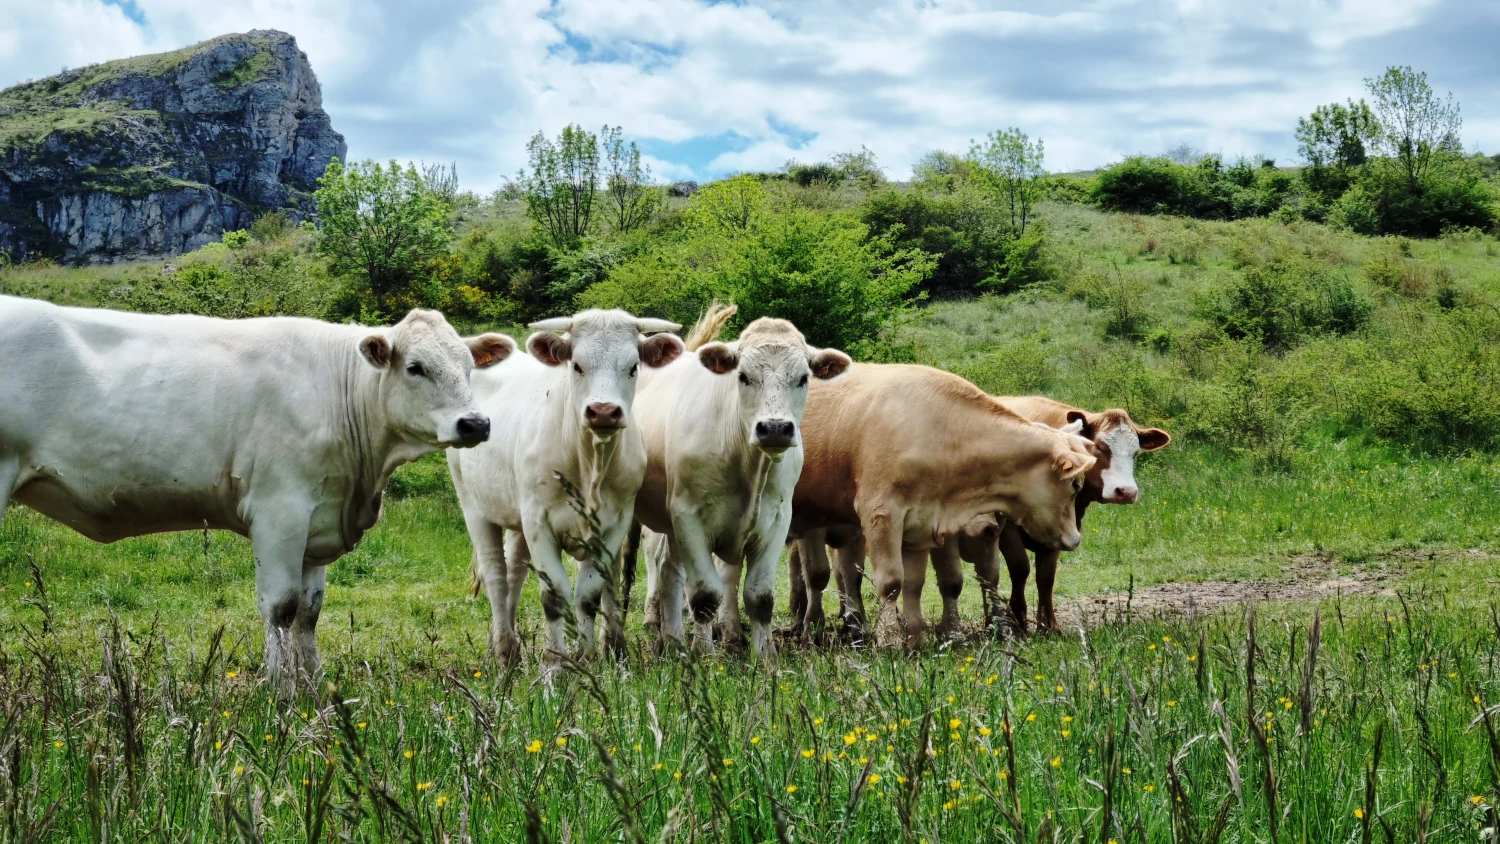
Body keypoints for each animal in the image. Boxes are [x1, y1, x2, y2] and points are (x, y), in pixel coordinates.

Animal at [0, 296, 513, 693]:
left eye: (469, 367)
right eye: (415, 367)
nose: (476, 423)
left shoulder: (317, 520)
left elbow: (309, 611)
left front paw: (312, 685)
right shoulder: (280, 510)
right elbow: (281, 606)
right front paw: (277, 690)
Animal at [447, 309, 683, 665]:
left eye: (633, 367)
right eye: (577, 365)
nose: (603, 412)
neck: (589, 463)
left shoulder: (613, 525)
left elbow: (588, 595)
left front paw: (586, 657)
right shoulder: (539, 523)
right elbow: (554, 595)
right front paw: (553, 663)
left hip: (517, 520)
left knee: (514, 573)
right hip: (474, 507)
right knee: (496, 576)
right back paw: (503, 650)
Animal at [632, 304, 851, 656]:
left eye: (803, 378)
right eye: (744, 376)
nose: (774, 428)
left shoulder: (776, 521)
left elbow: (760, 597)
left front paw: (765, 657)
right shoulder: (690, 519)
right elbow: (704, 596)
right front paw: (706, 656)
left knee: (668, 571)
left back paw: (675, 641)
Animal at [786, 364, 1097, 649]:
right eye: (1075, 485)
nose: (1075, 539)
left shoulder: (921, 524)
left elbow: (915, 584)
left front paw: (916, 640)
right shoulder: (881, 516)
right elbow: (889, 582)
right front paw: (889, 640)